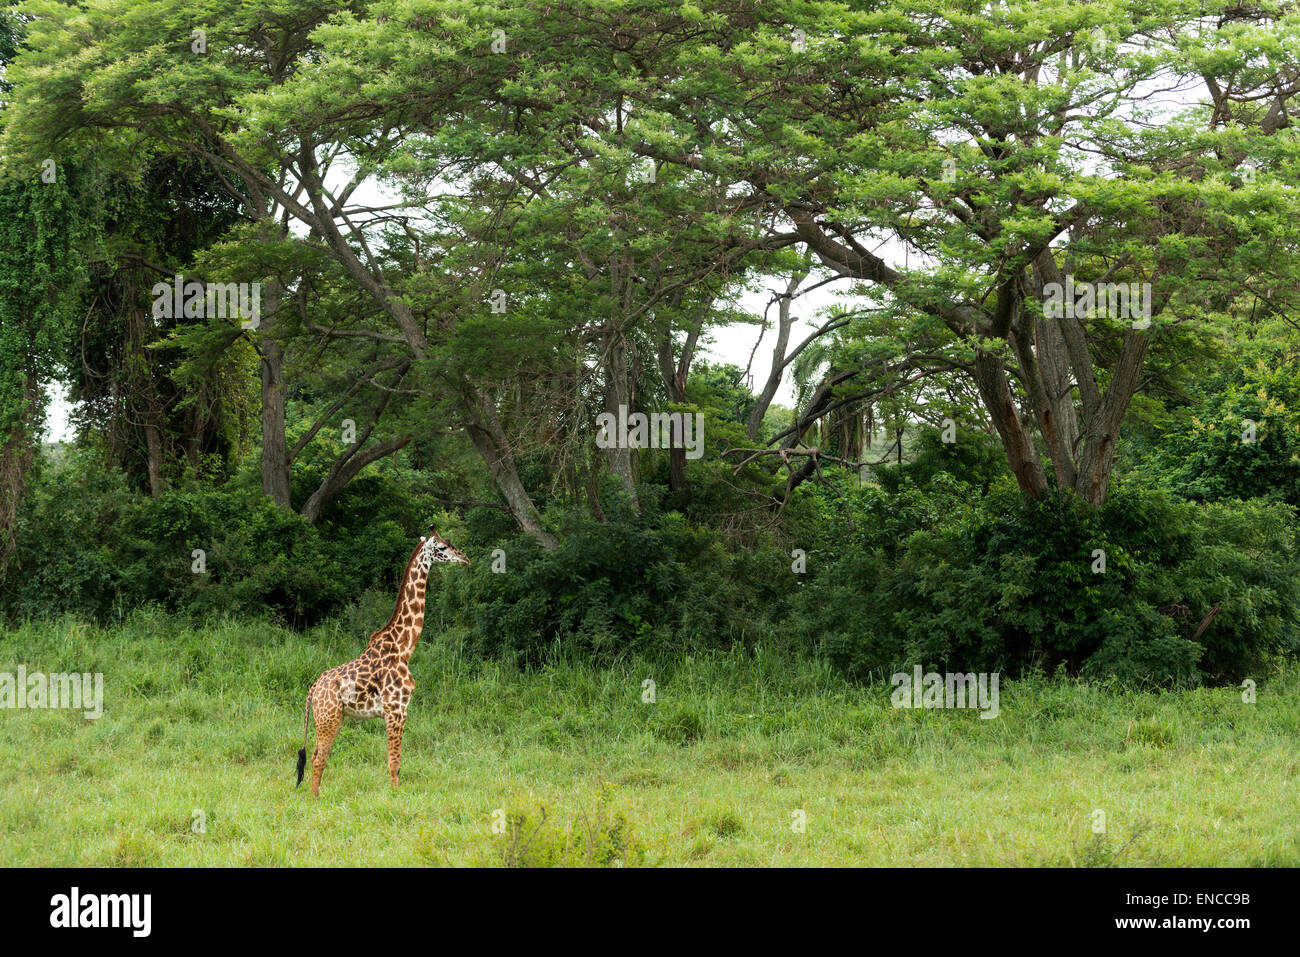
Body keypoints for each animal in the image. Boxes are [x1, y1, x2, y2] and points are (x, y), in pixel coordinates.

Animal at [297, 527, 470, 795]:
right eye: (442, 547)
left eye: (451, 543)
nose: (465, 559)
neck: (404, 647)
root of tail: (312, 690)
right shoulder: (396, 709)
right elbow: (394, 762)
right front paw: (394, 796)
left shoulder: (397, 710)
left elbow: (395, 761)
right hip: (328, 718)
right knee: (318, 758)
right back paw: (315, 799)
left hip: (334, 718)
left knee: (316, 755)